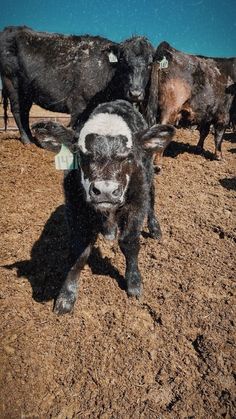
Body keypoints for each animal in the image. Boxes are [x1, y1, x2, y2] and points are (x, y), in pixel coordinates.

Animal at [0, 26, 154, 144]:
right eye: (123, 61)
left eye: (150, 64)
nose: (135, 93)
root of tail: (11, 29)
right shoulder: (78, 104)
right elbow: (78, 128)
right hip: (12, 83)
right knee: (17, 110)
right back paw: (26, 140)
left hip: (27, 92)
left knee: (25, 111)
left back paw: (32, 138)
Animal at [32, 100, 174, 314]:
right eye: (83, 155)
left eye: (128, 156)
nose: (106, 191)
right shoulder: (76, 210)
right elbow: (79, 252)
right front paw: (67, 295)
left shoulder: (137, 203)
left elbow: (129, 242)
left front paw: (134, 282)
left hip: (149, 176)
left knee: (152, 199)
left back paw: (155, 228)